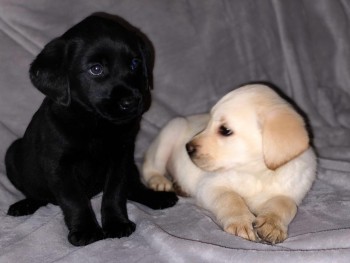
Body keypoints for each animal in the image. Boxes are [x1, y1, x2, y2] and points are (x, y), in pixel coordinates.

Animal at [6, 13, 178, 248]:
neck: (95, 124)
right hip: (12, 154)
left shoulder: (121, 156)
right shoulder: (59, 165)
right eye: (96, 69)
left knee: (133, 187)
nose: (132, 101)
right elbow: (74, 200)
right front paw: (86, 229)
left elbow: (115, 192)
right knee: (36, 193)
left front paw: (116, 223)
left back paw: (157, 197)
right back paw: (24, 204)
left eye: (135, 63)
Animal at [141, 85, 316, 245]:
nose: (187, 148)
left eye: (225, 130)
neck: (257, 173)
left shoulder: (292, 192)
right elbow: (230, 198)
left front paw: (272, 224)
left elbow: (285, 204)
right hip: (171, 131)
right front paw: (241, 222)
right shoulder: (210, 186)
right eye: (209, 123)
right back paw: (159, 181)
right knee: (150, 166)